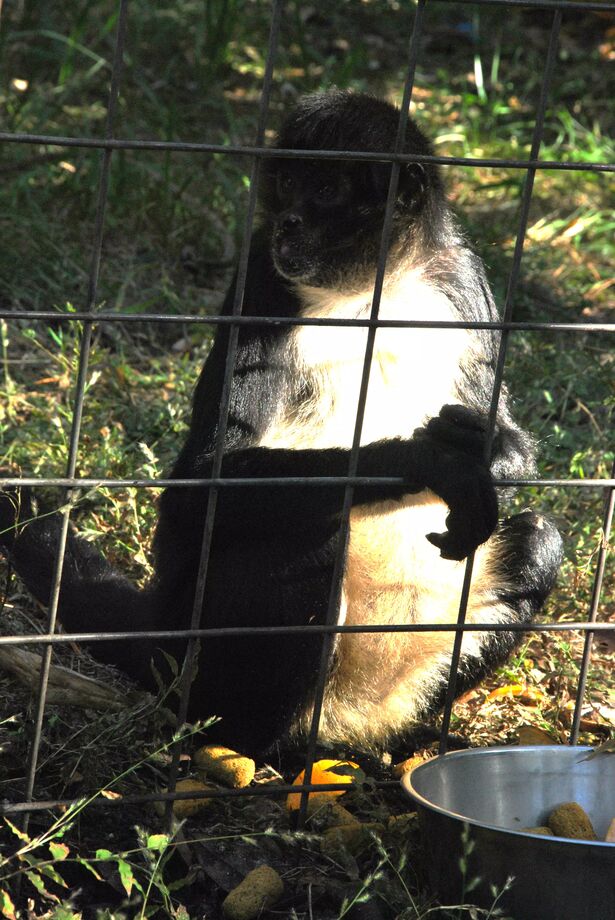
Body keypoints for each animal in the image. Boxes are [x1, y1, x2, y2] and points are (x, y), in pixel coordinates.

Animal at [0, 91, 563, 756]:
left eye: (324, 189)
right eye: (289, 184)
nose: (289, 222)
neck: (371, 293)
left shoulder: (462, 278)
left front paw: (495, 451)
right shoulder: (261, 275)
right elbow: (202, 483)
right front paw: (427, 459)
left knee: (540, 538)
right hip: (200, 657)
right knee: (305, 538)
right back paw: (248, 743)